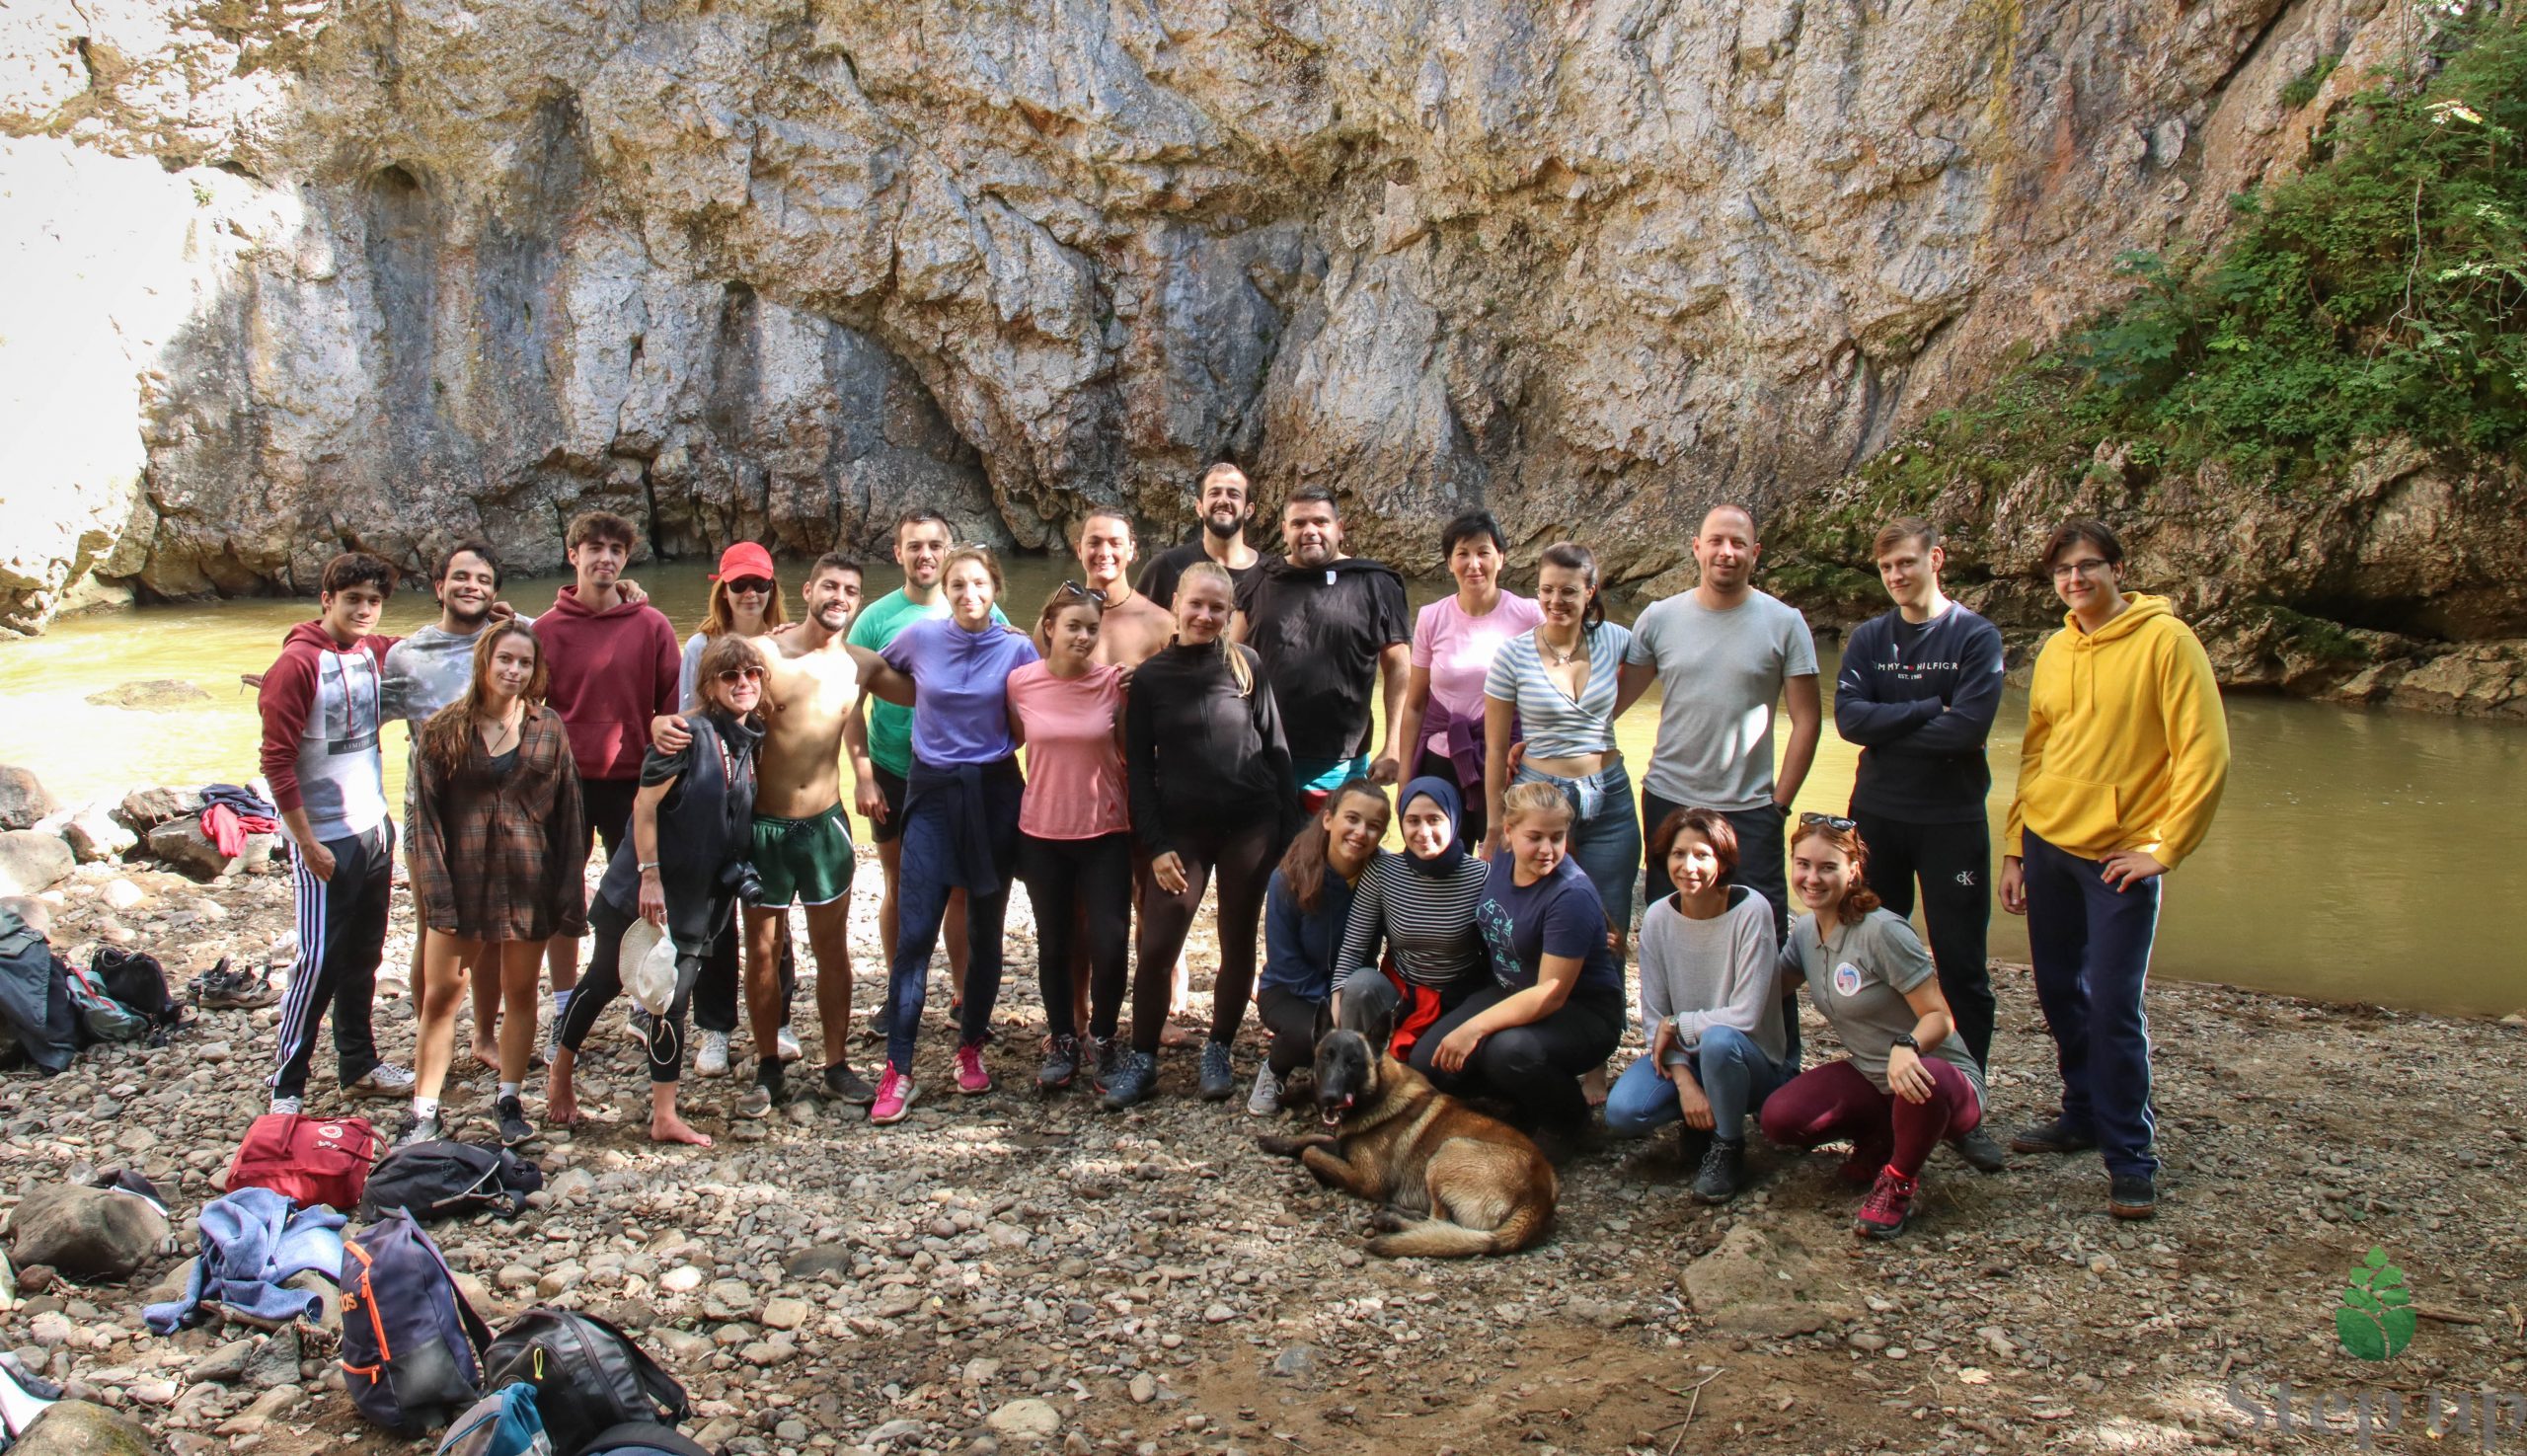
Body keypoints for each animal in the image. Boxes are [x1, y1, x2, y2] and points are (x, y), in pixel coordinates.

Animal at [1258, 1031, 1556, 1259]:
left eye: (1353, 1063)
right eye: (1324, 1059)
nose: (1328, 1096)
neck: (1380, 1095)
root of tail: (1537, 1201)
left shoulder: (1369, 1179)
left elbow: (1312, 1152)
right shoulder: (1342, 1142)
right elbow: (1311, 1140)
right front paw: (1274, 1141)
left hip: (1447, 1151)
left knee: (1437, 1221)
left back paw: (1390, 1219)